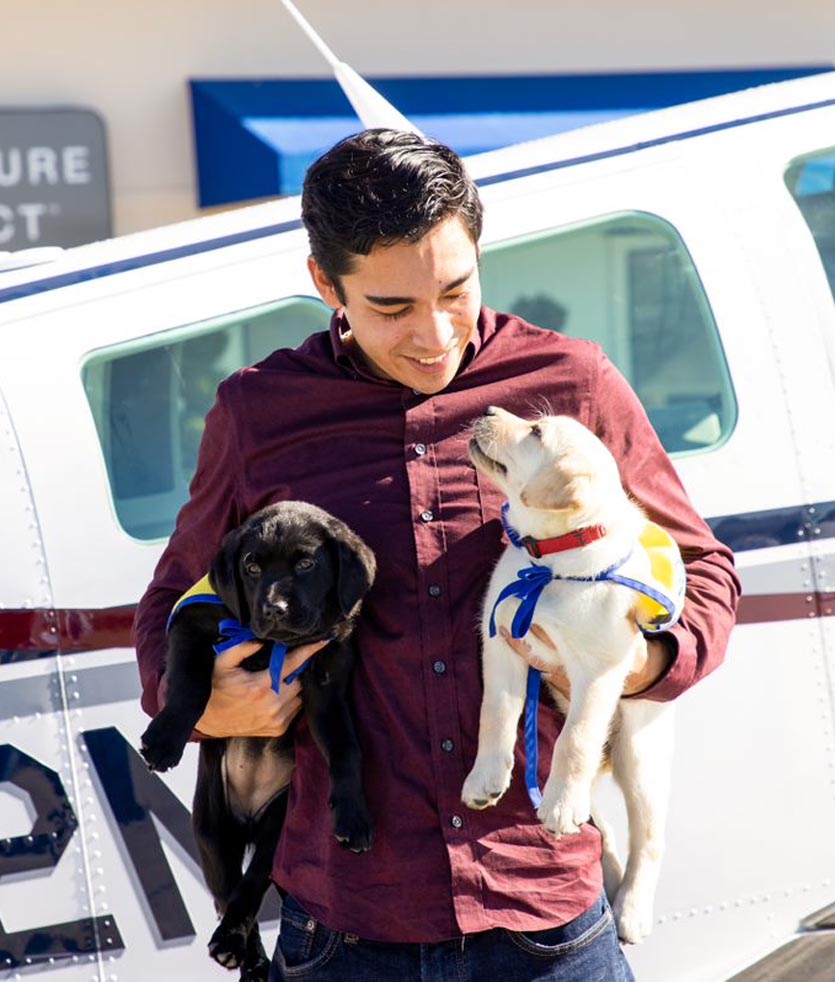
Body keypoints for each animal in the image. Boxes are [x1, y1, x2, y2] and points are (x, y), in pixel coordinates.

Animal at [140, 504, 376, 980]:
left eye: (306, 564)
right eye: (251, 567)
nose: (275, 607)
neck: (274, 646)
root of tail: (248, 819)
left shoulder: (328, 687)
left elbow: (346, 749)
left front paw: (353, 815)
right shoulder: (193, 626)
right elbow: (190, 686)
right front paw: (163, 741)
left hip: (277, 827)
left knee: (250, 886)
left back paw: (234, 944)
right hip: (211, 833)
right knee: (226, 890)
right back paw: (243, 954)